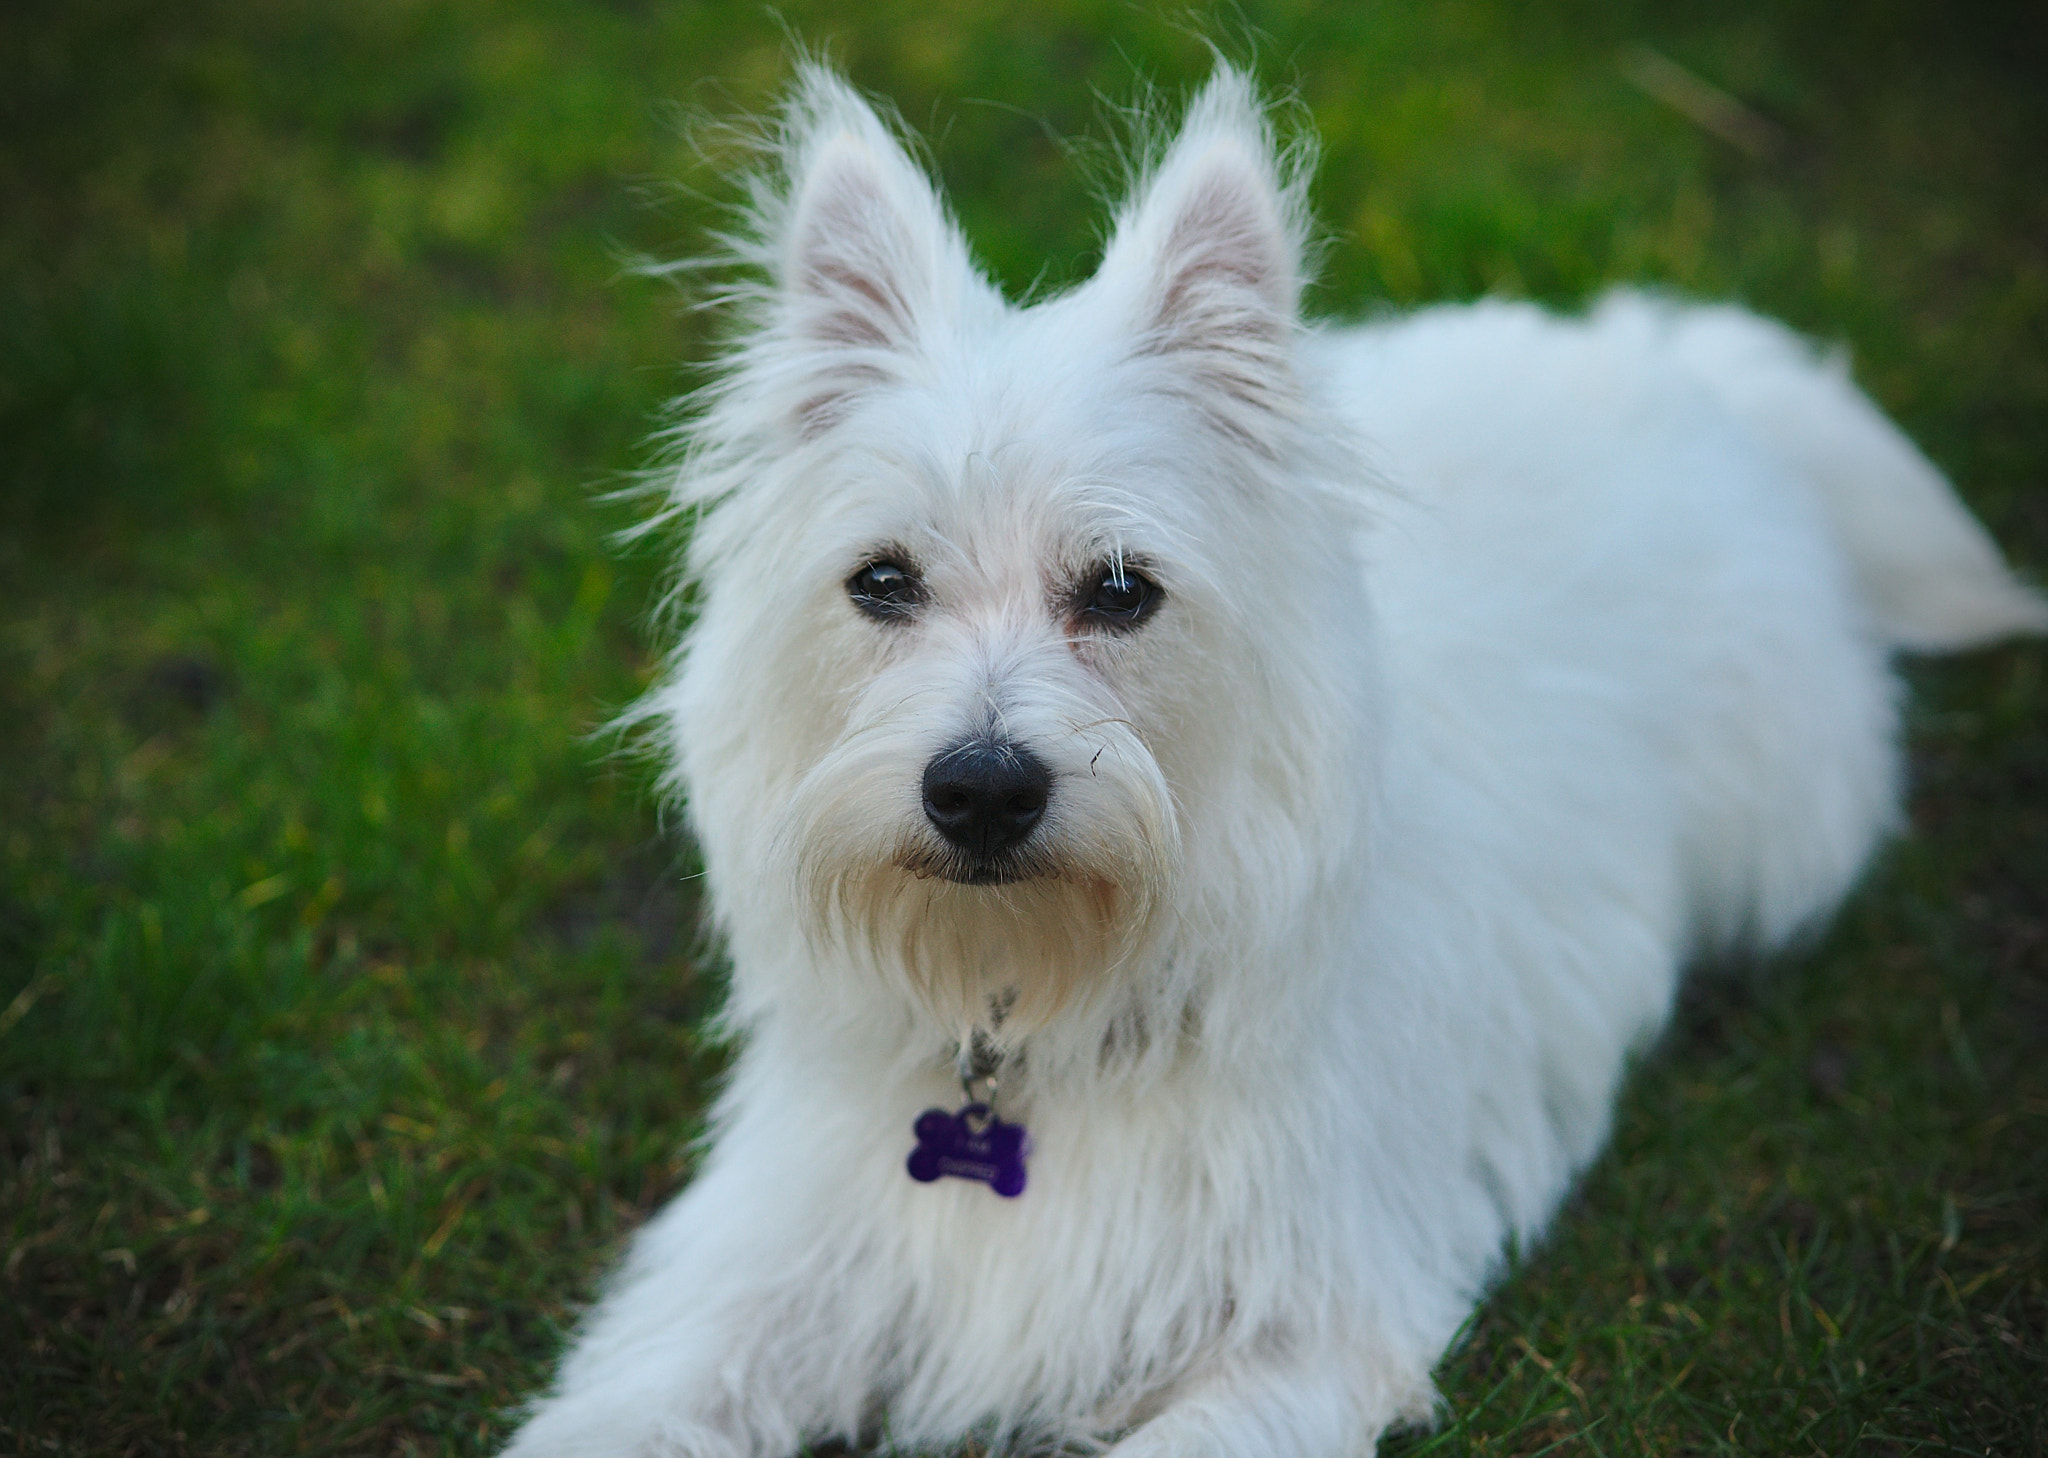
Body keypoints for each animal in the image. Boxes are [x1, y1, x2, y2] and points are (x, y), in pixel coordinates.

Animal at [503, 71, 2039, 1458]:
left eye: (1122, 590)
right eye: (881, 581)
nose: (982, 789)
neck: (1039, 1007)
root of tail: (1680, 373)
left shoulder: (1303, 1329)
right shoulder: (747, 1279)